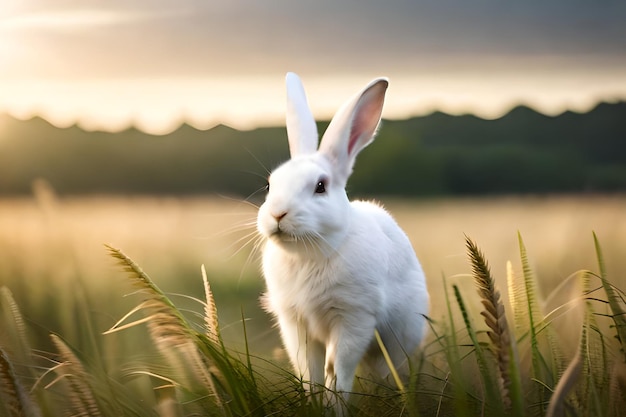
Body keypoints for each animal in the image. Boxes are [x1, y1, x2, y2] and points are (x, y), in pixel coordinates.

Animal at [256, 72, 426, 404]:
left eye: (320, 186)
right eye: (270, 185)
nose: (278, 214)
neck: (310, 252)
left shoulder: (354, 317)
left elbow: (339, 371)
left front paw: (335, 407)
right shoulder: (295, 322)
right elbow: (309, 371)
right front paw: (313, 403)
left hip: (397, 338)